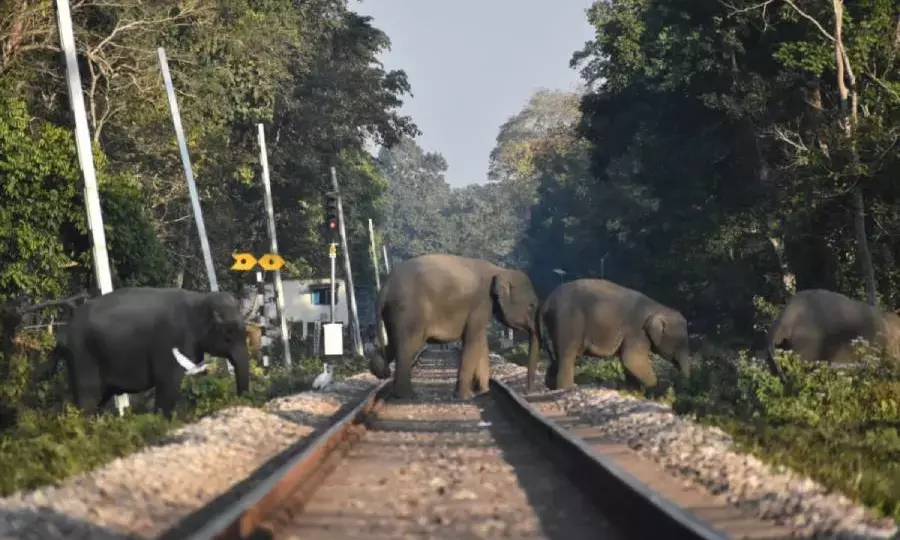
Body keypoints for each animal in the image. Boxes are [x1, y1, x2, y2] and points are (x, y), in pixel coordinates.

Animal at [55, 287, 250, 418]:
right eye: (227, 335)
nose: (240, 400)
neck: (200, 299)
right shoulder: (171, 341)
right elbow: (168, 383)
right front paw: (163, 422)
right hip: (83, 356)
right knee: (88, 399)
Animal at [369, 253, 540, 399]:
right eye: (531, 306)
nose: (528, 392)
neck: (500, 271)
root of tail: (385, 286)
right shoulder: (481, 304)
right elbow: (472, 341)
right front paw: (466, 397)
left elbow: (480, 342)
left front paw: (483, 391)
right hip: (408, 312)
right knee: (408, 346)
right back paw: (407, 395)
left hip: (393, 314)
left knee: (393, 343)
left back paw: (380, 371)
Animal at [539, 278, 692, 391]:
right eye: (679, 343)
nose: (681, 385)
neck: (657, 307)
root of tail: (546, 302)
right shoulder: (637, 332)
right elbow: (632, 359)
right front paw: (656, 387)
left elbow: (629, 362)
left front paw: (633, 391)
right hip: (568, 321)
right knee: (568, 354)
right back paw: (568, 388)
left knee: (560, 357)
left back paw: (551, 386)